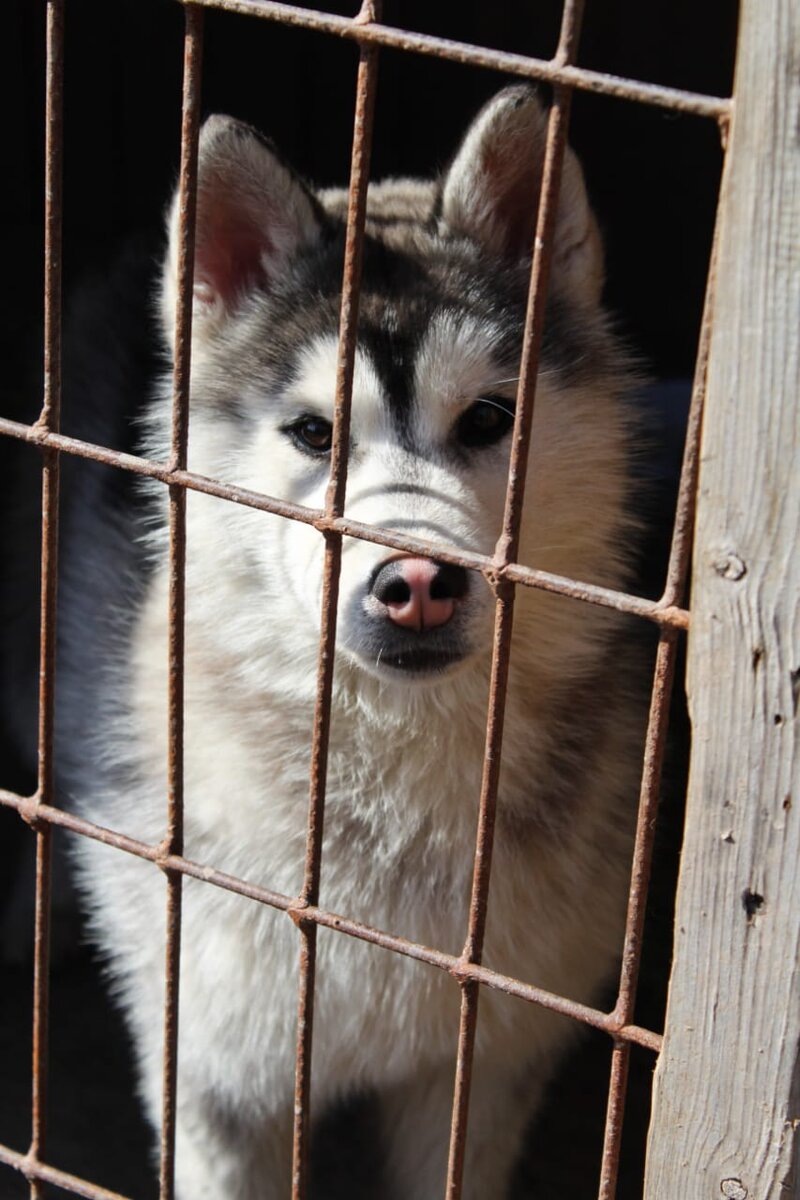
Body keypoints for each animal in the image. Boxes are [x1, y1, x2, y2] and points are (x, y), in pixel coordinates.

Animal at [6, 88, 652, 1195]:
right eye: (313, 434)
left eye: (489, 418)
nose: (417, 584)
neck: (382, 772)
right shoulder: (215, 1072)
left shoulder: (483, 1064)